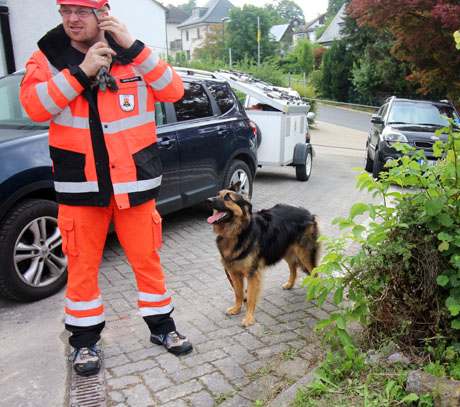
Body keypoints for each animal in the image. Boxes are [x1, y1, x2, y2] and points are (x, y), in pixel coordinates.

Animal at [208, 185, 320, 328]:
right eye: (217, 194)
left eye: (227, 197)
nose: (208, 200)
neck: (238, 232)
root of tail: (308, 213)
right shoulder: (234, 272)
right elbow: (238, 293)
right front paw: (237, 308)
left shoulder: (252, 274)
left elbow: (250, 297)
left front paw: (249, 318)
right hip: (285, 251)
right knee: (293, 268)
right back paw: (289, 284)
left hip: (304, 255)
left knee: (315, 273)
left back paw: (316, 292)